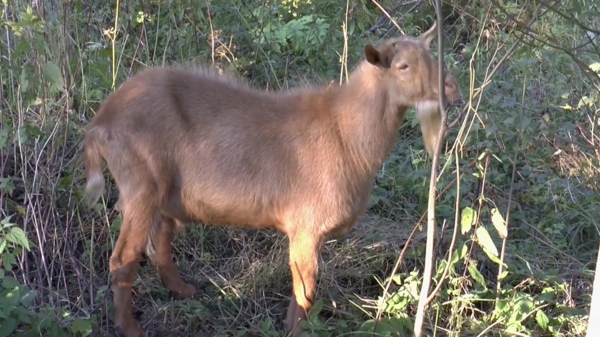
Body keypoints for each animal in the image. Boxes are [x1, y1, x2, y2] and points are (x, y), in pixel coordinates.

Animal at [82, 22, 462, 334]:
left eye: (431, 54)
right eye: (403, 66)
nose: (450, 86)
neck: (346, 133)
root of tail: (101, 122)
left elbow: (300, 288)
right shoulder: (306, 226)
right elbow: (306, 290)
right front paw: (294, 331)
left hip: (162, 196)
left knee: (159, 245)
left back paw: (185, 291)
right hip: (140, 186)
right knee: (123, 261)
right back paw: (130, 329)